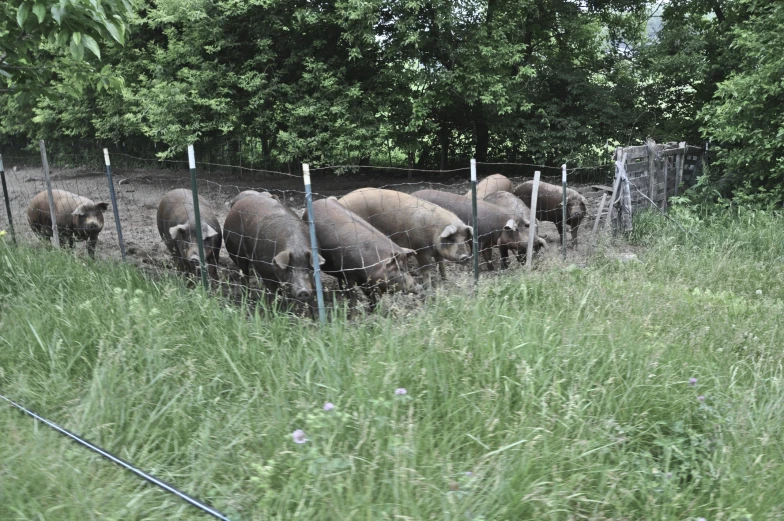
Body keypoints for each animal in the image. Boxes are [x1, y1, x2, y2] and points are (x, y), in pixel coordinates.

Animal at [336, 187, 472, 286]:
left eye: (464, 238)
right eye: (452, 239)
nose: (465, 256)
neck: (435, 232)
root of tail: (342, 200)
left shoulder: (437, 252)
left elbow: (441, 265)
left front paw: (446, 281)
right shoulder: (420, 249)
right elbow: (426, 270)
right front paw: (428, 288)